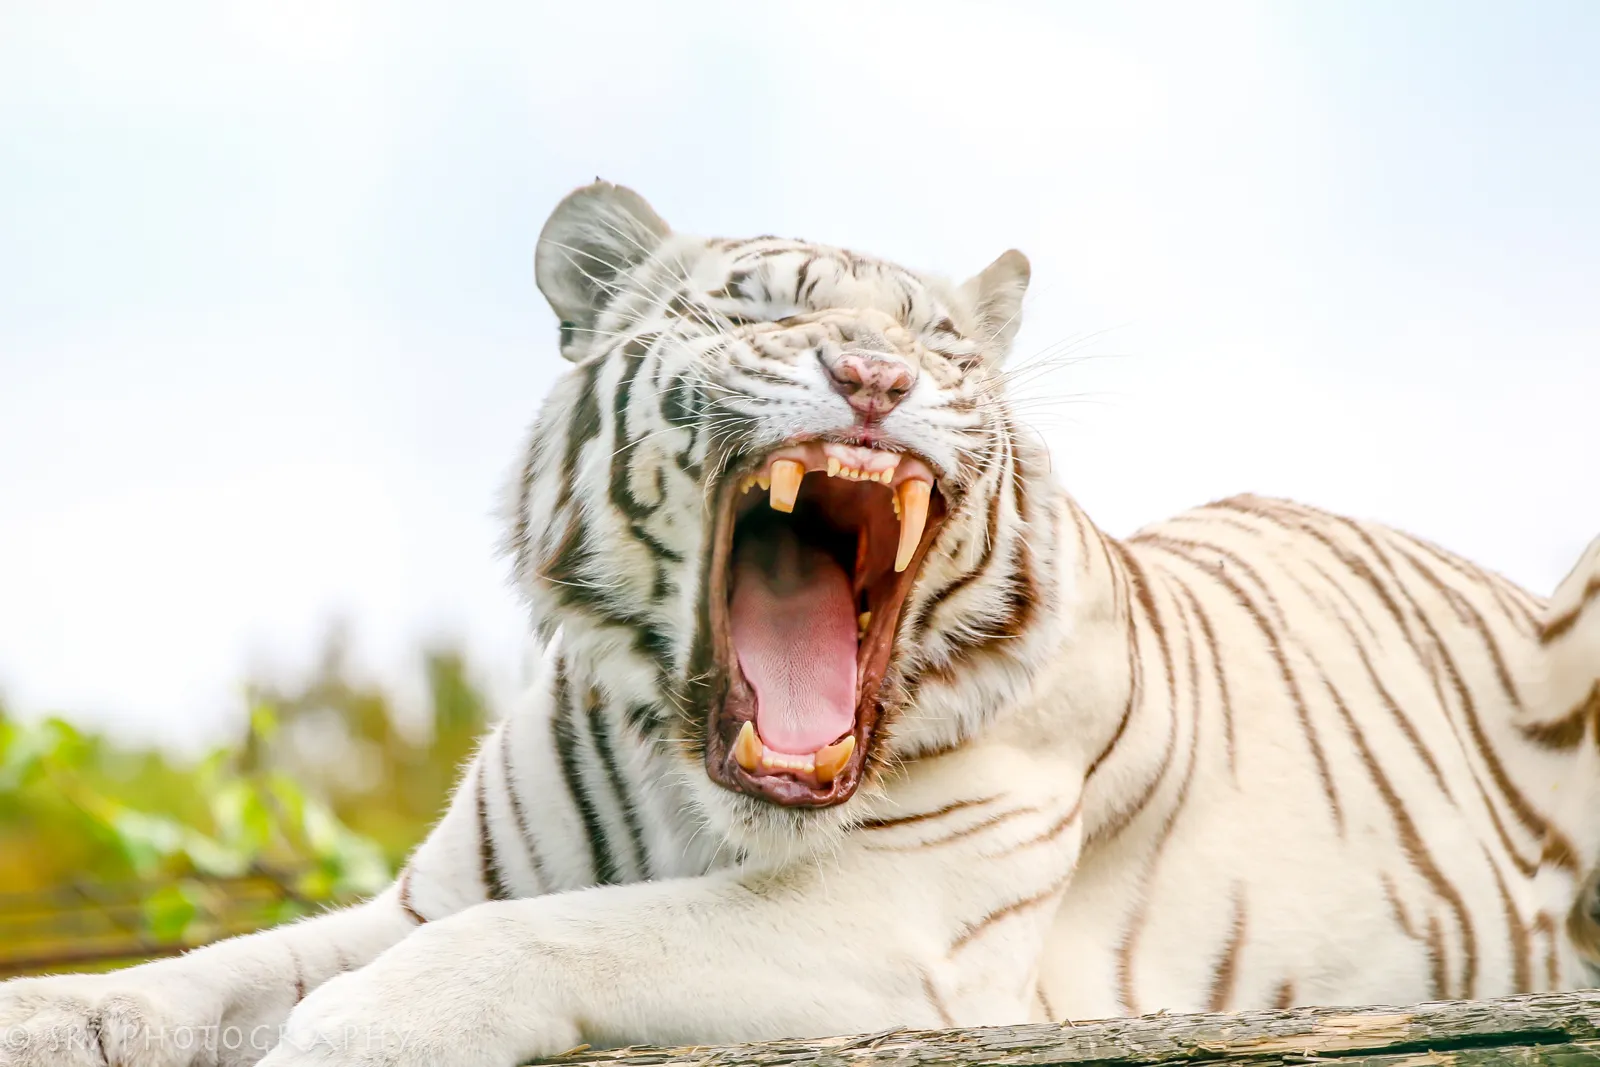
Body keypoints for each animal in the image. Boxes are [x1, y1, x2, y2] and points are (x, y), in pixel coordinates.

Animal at [2, 180, 1598, 1067]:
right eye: (760, 312)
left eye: (945, 347)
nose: (878, 375)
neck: (698, 782)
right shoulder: (431, 893)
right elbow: (210, 969)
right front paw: (53, 1016)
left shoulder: (903, 917)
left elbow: (574, 932)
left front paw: (355, 1031)